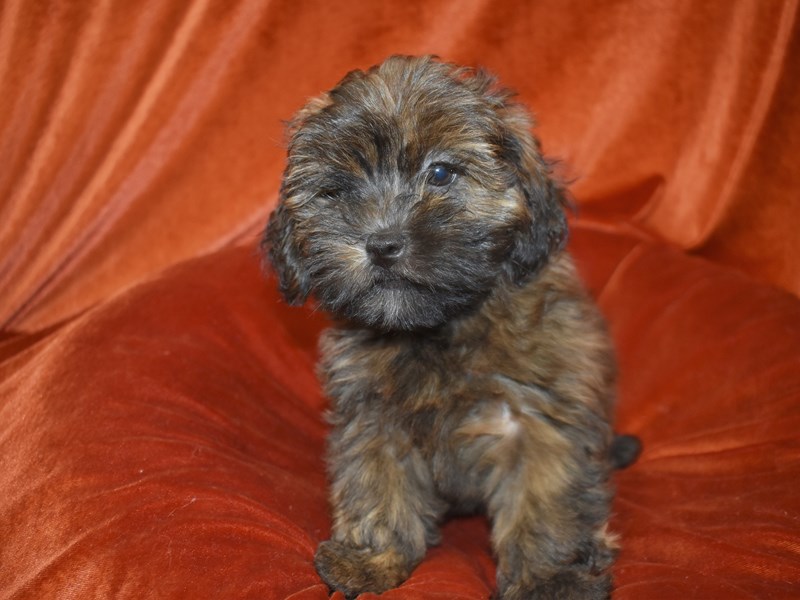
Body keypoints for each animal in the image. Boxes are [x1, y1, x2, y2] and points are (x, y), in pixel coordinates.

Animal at [266, 54, 640, 596]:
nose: (382, 244)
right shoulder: (375, 418)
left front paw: (550, 578)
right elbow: (376, 481)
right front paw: (372, 557)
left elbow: (544, 499)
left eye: (441, 173)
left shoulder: (537, 418)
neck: (439, 329)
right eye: (335, 192)